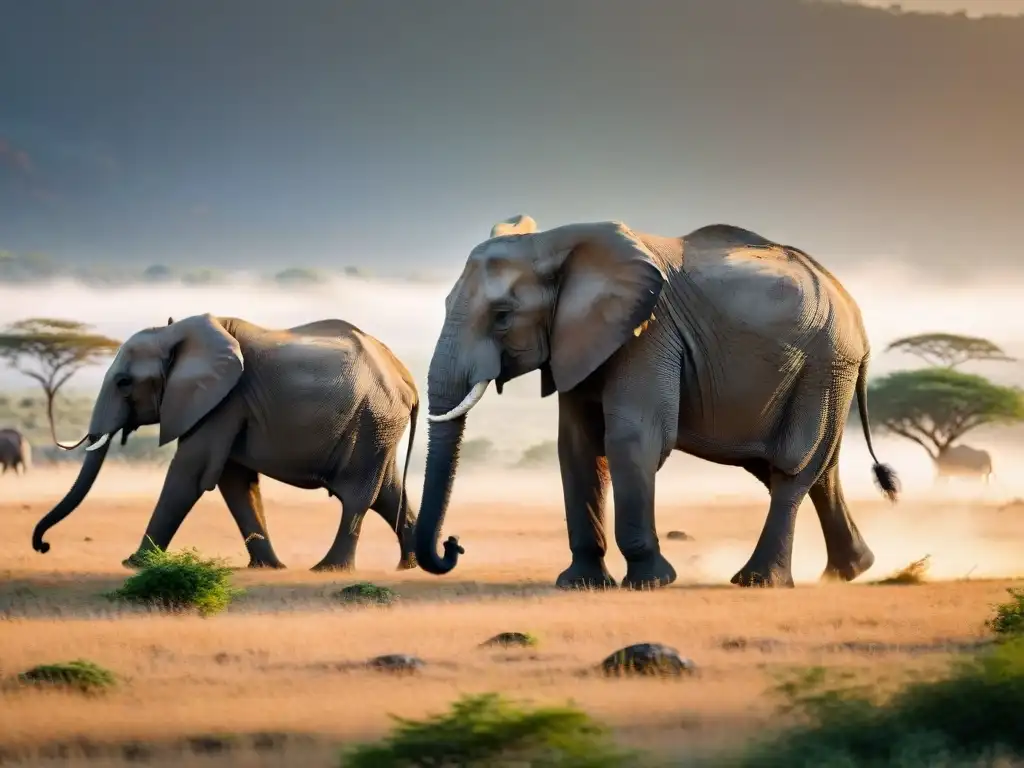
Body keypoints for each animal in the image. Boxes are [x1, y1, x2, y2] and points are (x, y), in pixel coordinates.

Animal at [33, 313, 419, 573]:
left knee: (356, 496)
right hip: (379, 427)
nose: (43, 545)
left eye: (124, 382)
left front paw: (135, 564)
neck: (178, 334)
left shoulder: (224, 401)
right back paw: (411, 565)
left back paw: (328, 569)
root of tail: (406, 378)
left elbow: (191, 472)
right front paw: (268, 567)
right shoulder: (227, 404)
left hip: (372, 421)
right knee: (388, 494)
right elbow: (234, 481)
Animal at [413, 217, 897, 589]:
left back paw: (759, 581)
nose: (454, 544)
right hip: (824, 374)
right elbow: (577, 448)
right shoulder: (581, 339)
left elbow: (631, 439)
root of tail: (855, 311)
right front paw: (581, 584)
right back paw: (851, 570)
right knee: (816, 472)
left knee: (791, 468)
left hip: (825, 367)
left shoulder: (648, 333)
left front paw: (650, 581)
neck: (555, 243)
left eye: (502, 316)